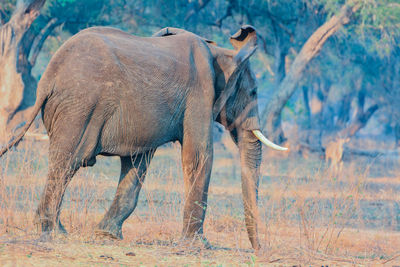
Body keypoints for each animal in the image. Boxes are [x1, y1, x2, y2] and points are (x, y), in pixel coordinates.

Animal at [0, 25, 288, 253]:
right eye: (253, 92)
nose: (258, 249)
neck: (220, 52)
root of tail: (48, 77)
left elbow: (137, 162)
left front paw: (107, 235)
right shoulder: (200, 91)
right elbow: (199, 154)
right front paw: (199, 246)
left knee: (66, 163)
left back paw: (56, 229)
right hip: (79, 107)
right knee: (69, 162)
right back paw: (51, 231)